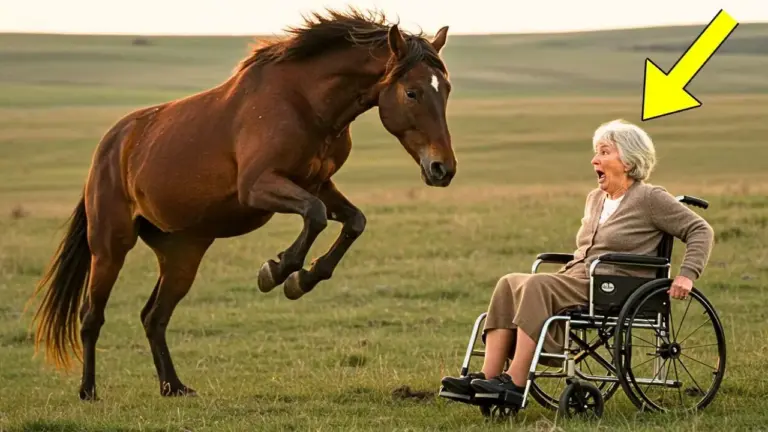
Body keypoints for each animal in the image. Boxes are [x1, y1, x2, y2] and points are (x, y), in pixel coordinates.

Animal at [27, 8, 456, 401]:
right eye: (412, 91)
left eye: (447, 90)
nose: (443, 169)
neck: (304, 103)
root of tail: (111, 145)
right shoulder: (259, 186)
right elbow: (315, 216)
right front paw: (278, 271)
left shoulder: (318, 183)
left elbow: (353, 221)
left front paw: (302, 279)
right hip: (110, 247)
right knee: (91, 317)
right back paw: (88, 391)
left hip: (181, 255)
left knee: (154, 317)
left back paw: (174, 387)